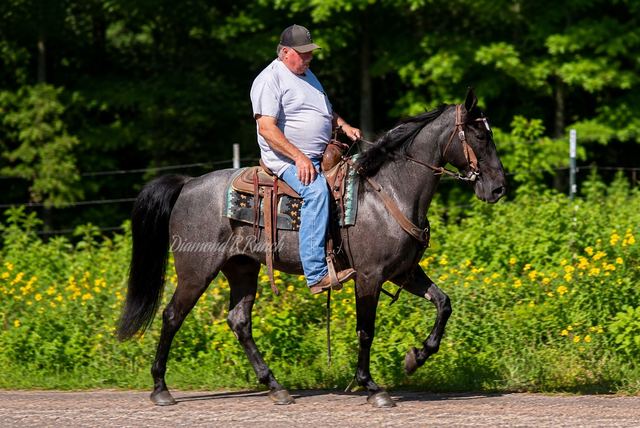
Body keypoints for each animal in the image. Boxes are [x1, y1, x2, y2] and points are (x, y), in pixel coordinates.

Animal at [117, 88, 507, 408]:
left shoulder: (404, 272)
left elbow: (443, 304)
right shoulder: (369, 276)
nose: (498, 187)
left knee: (239, 321)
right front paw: (371, 387)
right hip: (196, 271)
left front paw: (415, 358)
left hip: (242, 268)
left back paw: (275, 387)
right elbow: (366, 331)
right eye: (478, 134)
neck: (390, 192)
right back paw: (160, 388)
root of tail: (187, 184)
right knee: (172, 316)